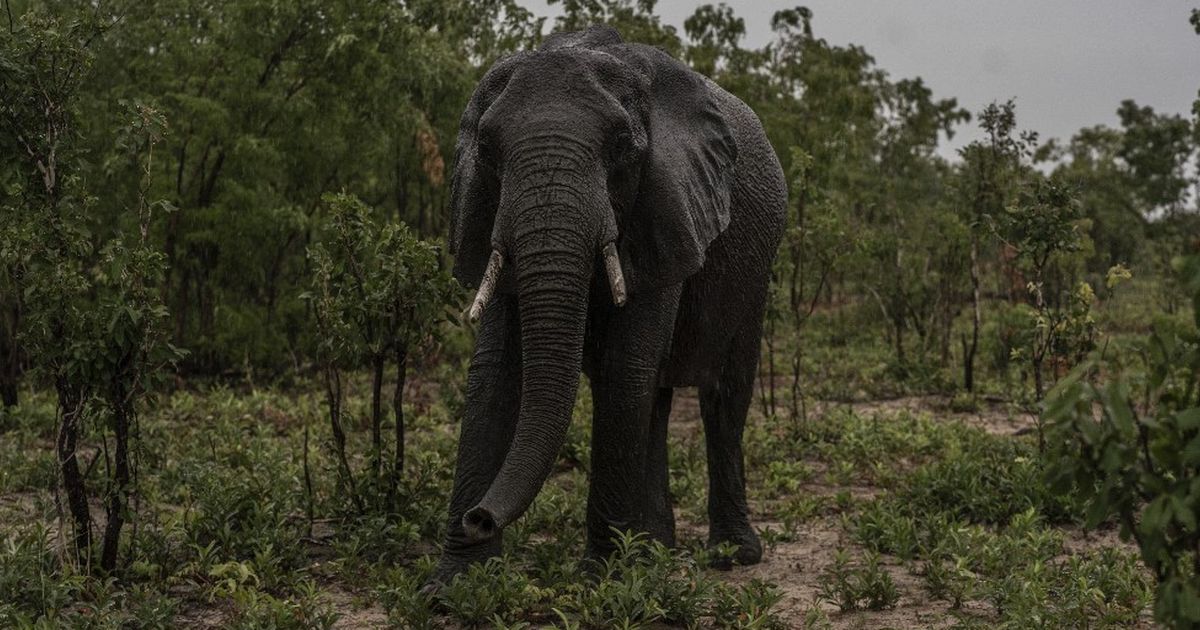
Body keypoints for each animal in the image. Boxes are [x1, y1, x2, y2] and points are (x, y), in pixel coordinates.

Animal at [429, 24, 787, 585]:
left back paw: (729, 555)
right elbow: (495, 371)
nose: (480, 517)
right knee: (656, 398)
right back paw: (656, 549)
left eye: (621, 147)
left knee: (723, 394)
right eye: (486, 148)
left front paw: (601, 582)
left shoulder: (666, 207)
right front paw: (451, 587)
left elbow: (625, 365)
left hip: (757, 268)